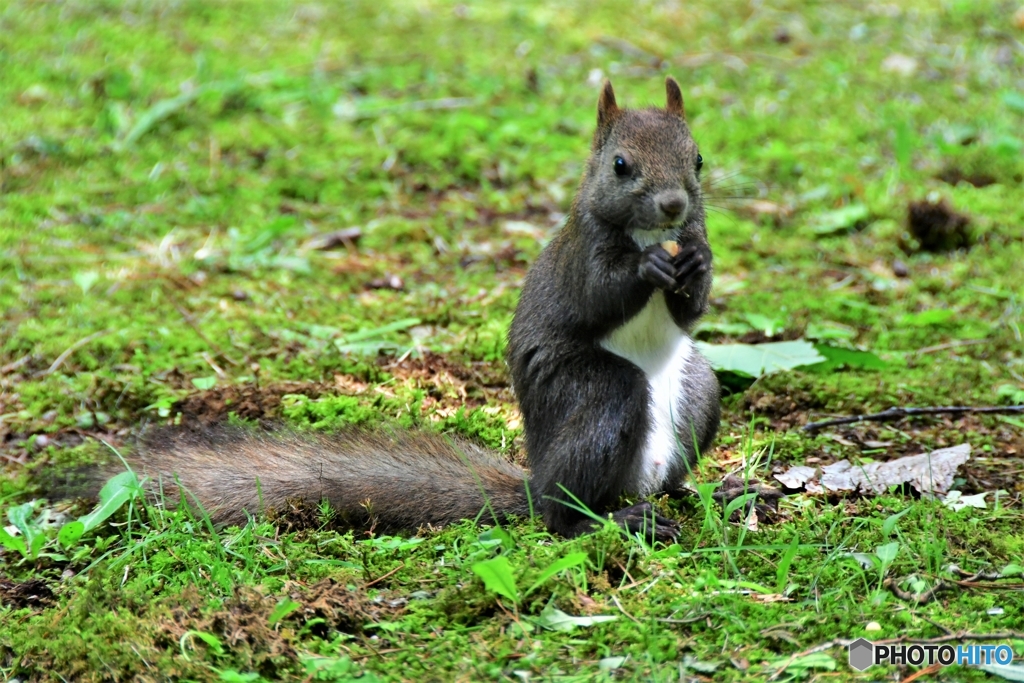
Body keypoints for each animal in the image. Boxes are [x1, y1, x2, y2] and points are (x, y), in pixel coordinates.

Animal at [114, 77, 720, 540]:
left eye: (697, 157)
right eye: (619, 165)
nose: (673, 204)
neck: (653, 236)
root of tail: (538, 480)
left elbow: (690, 310)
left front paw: (698, 264)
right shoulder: (581, 255)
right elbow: (597, 295)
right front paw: (646, 269)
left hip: (700, 390)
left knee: (669, 471)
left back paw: (707, 489)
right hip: (595, 395)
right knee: (562, 510)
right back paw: (613, 520)